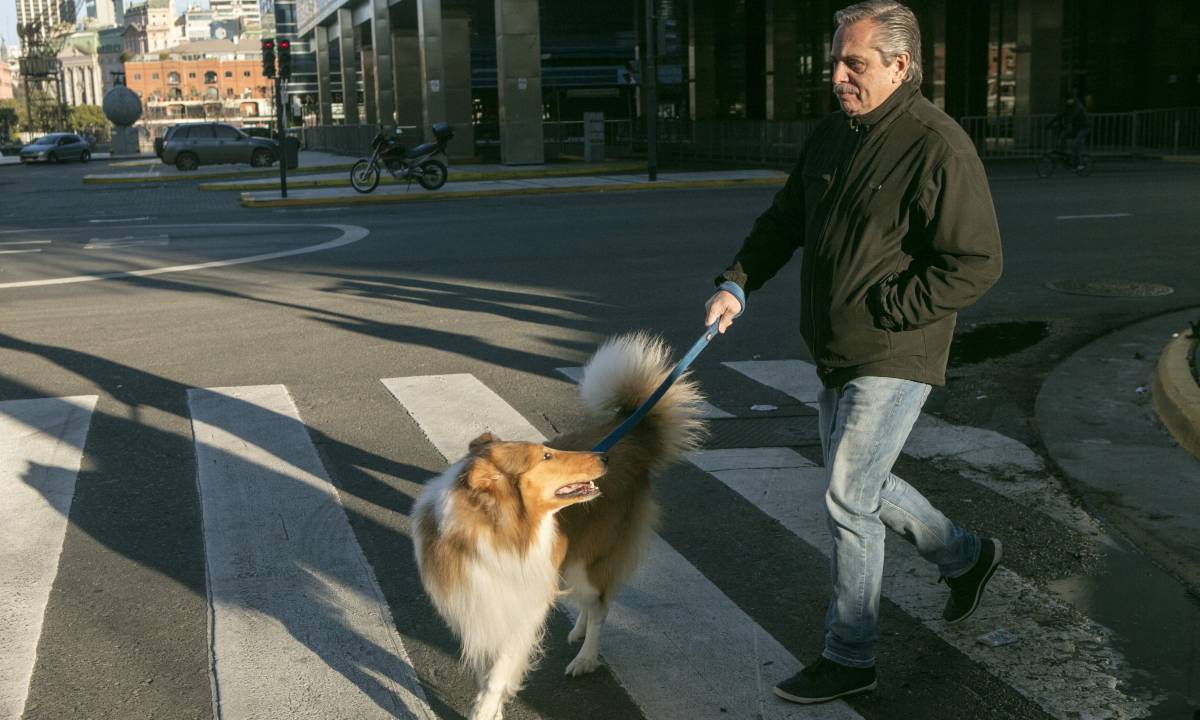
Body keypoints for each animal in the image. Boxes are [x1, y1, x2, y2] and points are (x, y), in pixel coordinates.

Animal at [415, 333, 700, 715]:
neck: (495, 531)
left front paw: (487, 708)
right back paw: (578, 630)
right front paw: (493, 706)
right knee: (591, 604)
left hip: (590, 560)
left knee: (600, 606)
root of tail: (629, 437)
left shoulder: (522, 605)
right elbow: (485, 670)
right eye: (547, 456)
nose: (602, 458)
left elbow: (498, 672)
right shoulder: (476, 606)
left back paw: (586, 658)